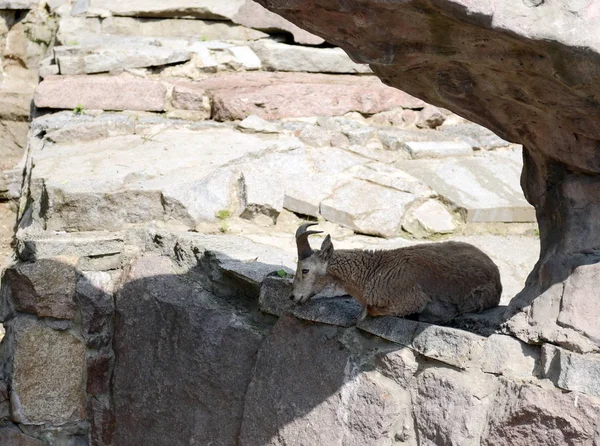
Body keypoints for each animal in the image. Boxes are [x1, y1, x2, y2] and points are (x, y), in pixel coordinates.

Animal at [290, 223, 502, 324]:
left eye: (305, 270)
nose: (293, 297)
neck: (371, 272)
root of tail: (496, 275)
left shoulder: (410, 300)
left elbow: (372, 310)